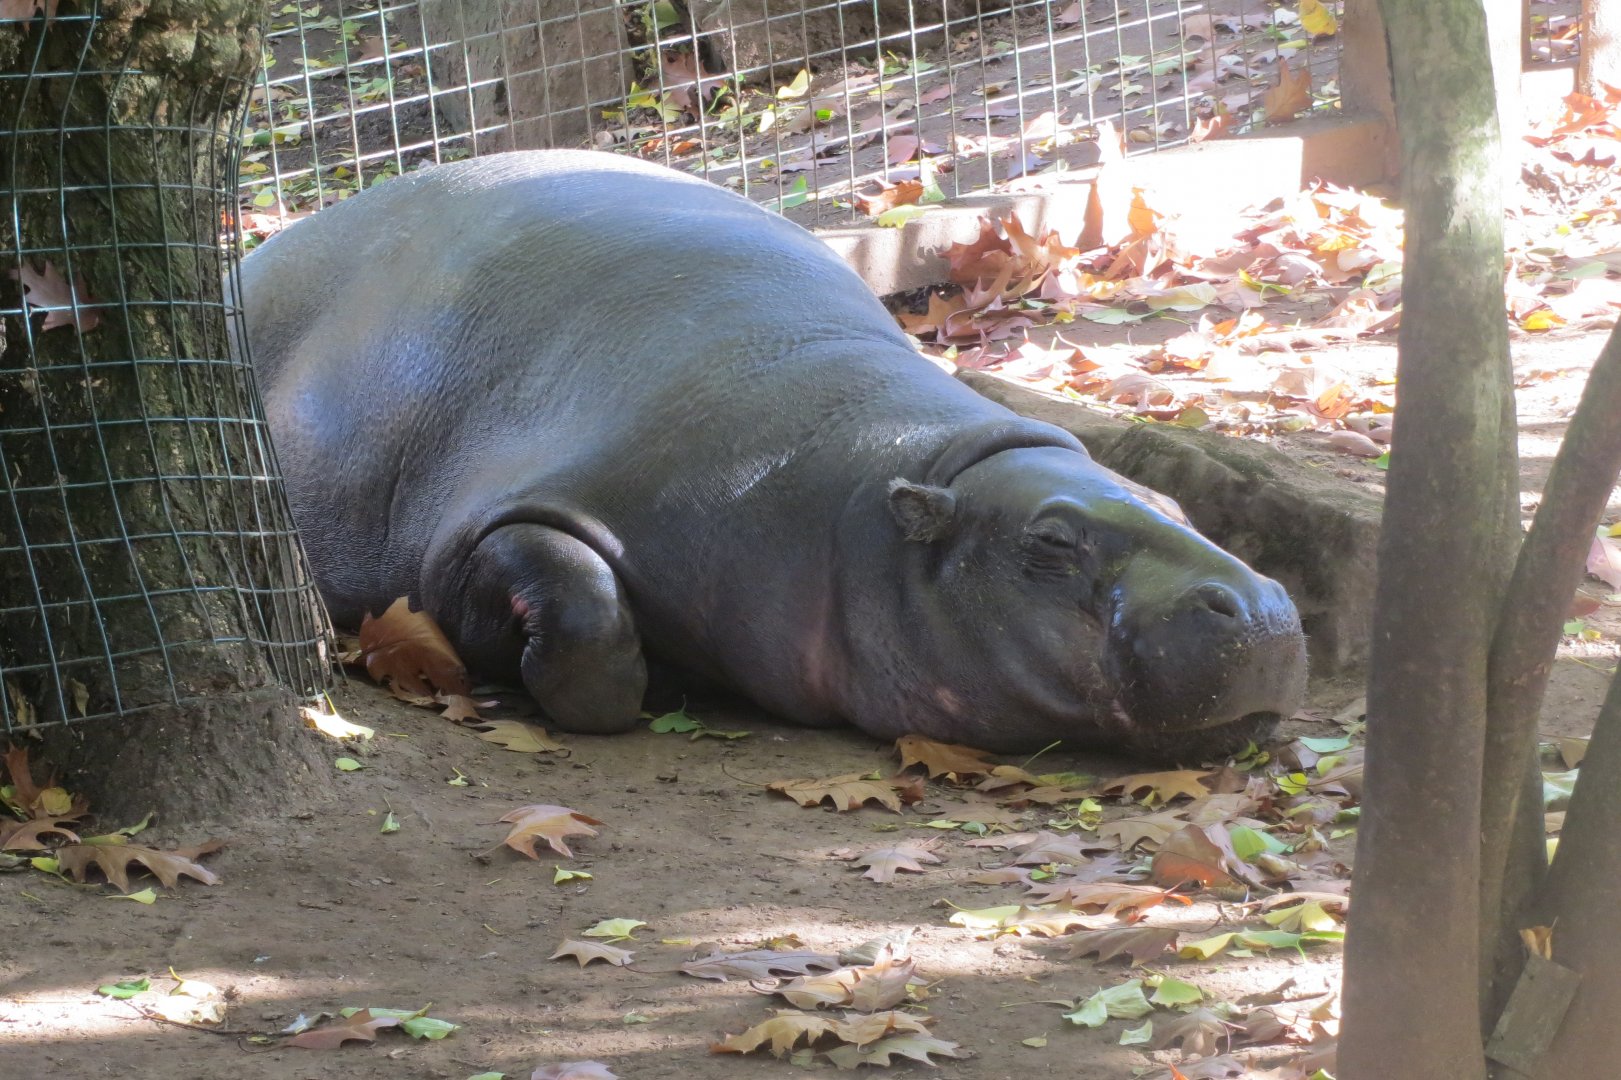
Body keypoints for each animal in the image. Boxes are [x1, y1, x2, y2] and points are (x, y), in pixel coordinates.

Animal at [239, 149, 1306, 759]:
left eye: (1175, 507)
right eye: (1051, 541)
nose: (1257, 604)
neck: (881, 481)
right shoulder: (507, 515)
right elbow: (584, 618)